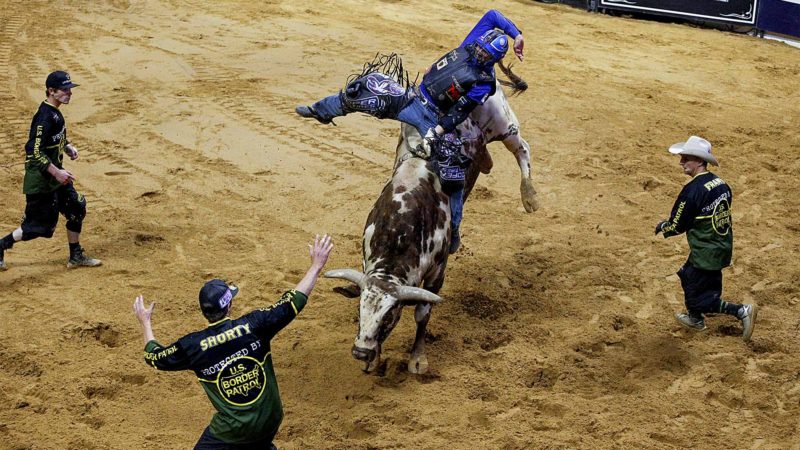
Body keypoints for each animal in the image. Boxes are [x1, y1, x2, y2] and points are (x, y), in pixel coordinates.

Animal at [324, 63, 536, 372]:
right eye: (360, 311)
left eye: (389, 315)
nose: (360, 352)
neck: (399, 233)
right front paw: (374, 360)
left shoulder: (438, 270)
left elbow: (422, 314)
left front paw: (417, 359)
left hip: (503, 121)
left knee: (522, 149)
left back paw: (530, 196)